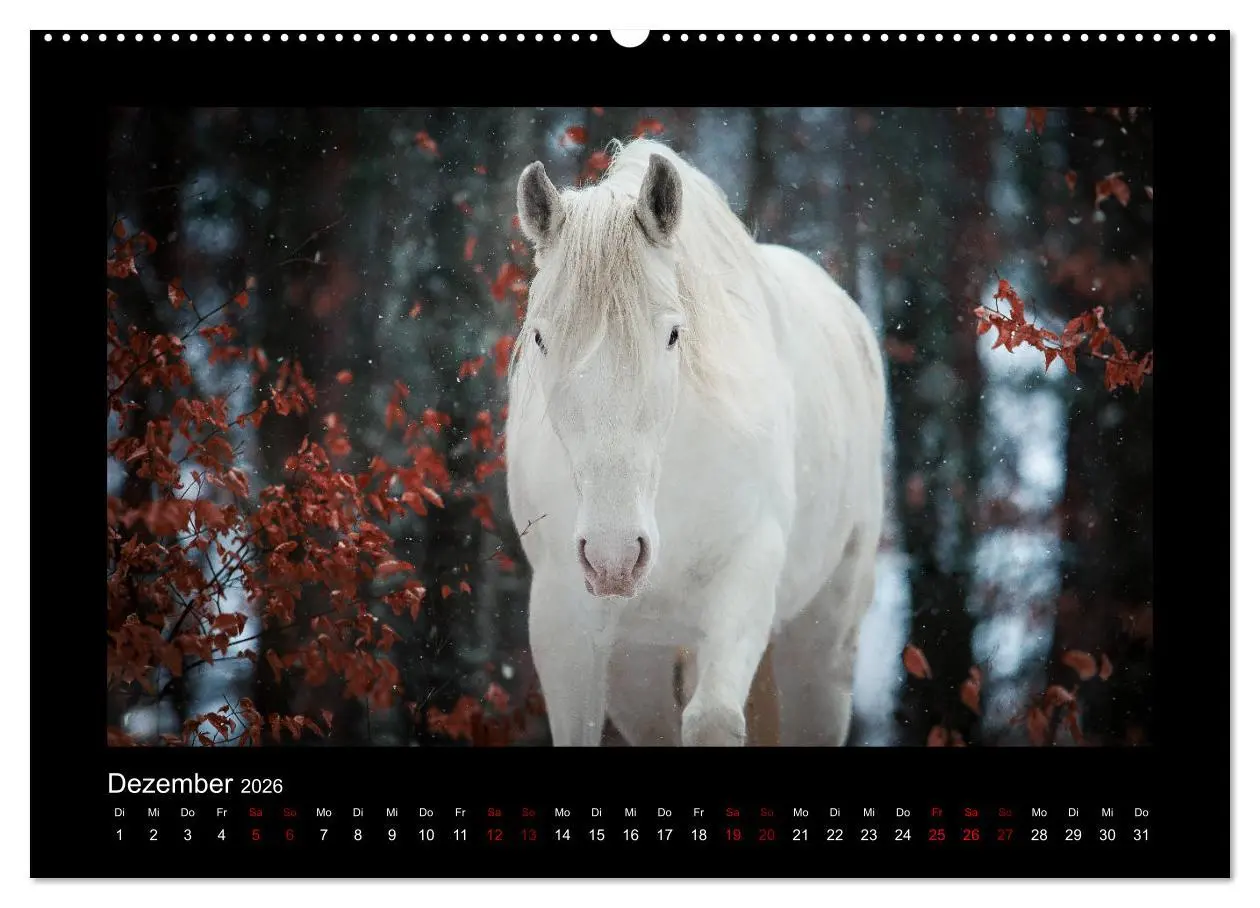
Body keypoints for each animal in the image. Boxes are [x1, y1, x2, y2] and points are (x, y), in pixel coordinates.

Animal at [505, 138, 886, 747]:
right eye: (540, 337)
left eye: (673, 334)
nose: (614, 558)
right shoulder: (562, 619)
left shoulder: (748, 579)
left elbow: (713, 721)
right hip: (637, 661)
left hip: (822, 642)